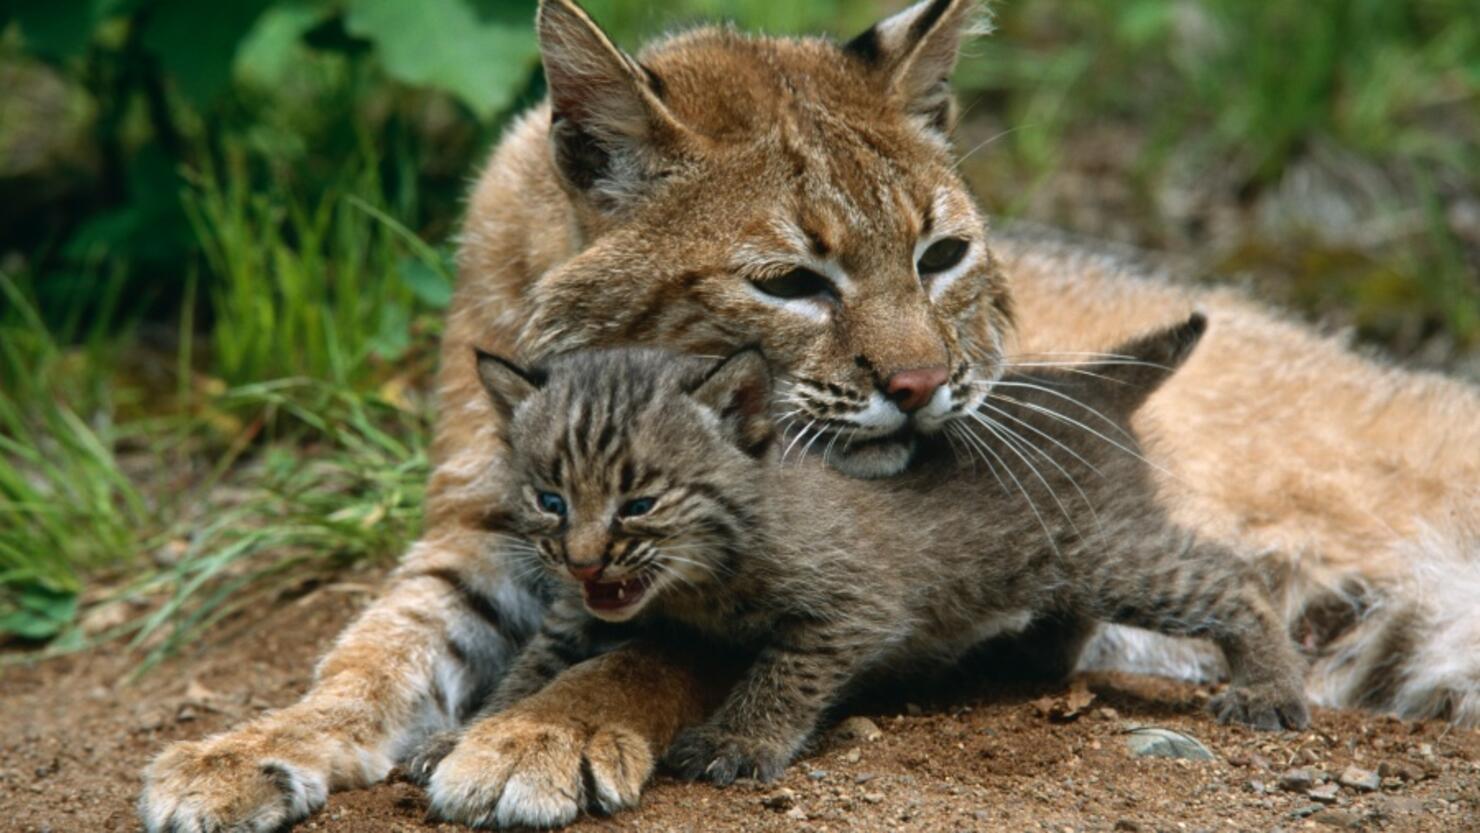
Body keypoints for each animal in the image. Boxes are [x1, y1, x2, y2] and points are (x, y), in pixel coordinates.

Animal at [455, 316, 1302, 787]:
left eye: (639, 503)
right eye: (551, 500)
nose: (584, 559)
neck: (694, 578)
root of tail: (1088, 382)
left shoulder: (857, 601)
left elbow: (786, 668)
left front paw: (738, 738)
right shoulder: (584, 610)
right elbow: (534, 661)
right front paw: (464, 735)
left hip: (1104, 552)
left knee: (1234, 575)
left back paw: (1268, 687)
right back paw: (1016, 659)